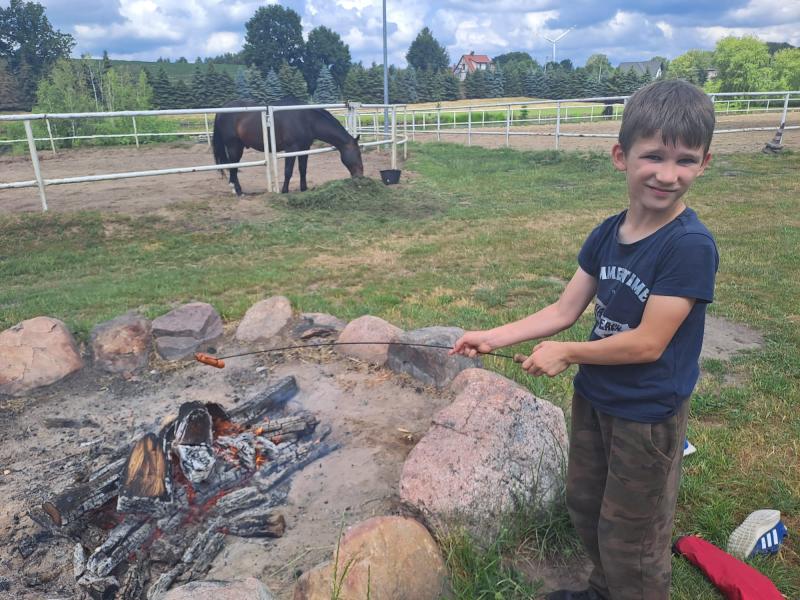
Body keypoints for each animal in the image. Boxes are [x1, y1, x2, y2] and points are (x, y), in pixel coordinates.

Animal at [212, 97, 362, 193]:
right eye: (358, 154)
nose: (360, 175)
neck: (306, 119)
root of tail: (221, 110)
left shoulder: (304, 148)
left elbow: (302, 169)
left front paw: (303, 188)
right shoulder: (291, 149)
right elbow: (288, 171)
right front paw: (284, 190)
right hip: (234, 146)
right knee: (233, 166)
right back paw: (237, 190)